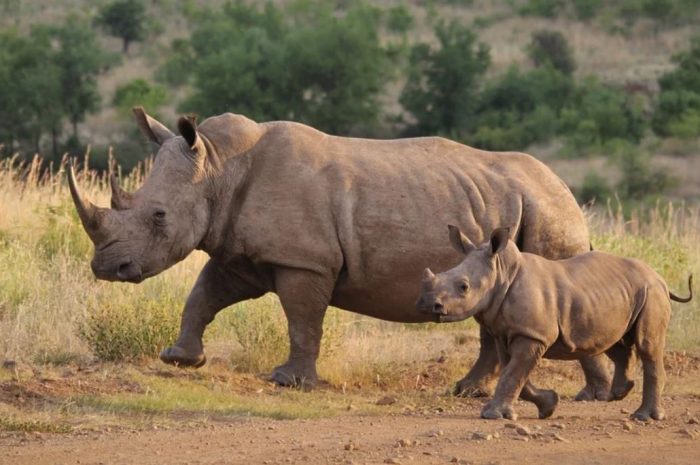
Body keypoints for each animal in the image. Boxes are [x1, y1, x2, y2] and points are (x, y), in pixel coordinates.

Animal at [68, 107, 612, 398]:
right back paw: (473, 391)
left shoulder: (303, 260)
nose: (106, 268)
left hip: (546, 213)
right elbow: (203, 295)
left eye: (159, 216)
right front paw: (180, 359)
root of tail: (566, 189)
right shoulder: (240, 253)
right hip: (514, 211)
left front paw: (289, 382)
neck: (218, 168)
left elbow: (302, 319)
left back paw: (585, 394)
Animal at [417, 226, 693, 421]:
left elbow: (512, 373)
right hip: (621, 294)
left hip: (651, 293)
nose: (427, 304)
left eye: (463, 287)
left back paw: (643, 417)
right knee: (614, 341)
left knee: (647, 346)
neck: (502, 273)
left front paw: (491, 415)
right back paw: (620, 393)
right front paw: (549, 405)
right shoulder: (507, 333)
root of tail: (660, 278)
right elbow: (514, 373)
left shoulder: (532, 334)